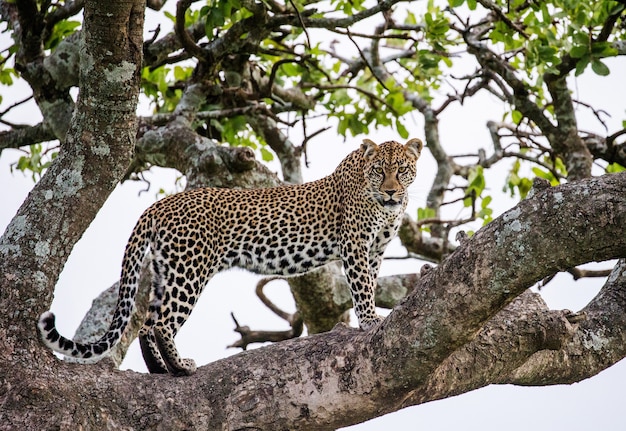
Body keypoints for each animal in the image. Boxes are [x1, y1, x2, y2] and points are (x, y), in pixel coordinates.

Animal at [39, 138, 424, 374]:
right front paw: (371, 321)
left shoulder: (375, 250)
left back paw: (162, 371)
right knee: (162, 324)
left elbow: (369, 283)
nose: (392, 192)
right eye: (379, 170)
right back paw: (180, 367)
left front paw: (369, 317)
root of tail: (160, 204)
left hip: (167, 269)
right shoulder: (356, 246)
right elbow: (362, 288)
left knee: (147, 324)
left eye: (403, 170)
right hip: (189, 270)